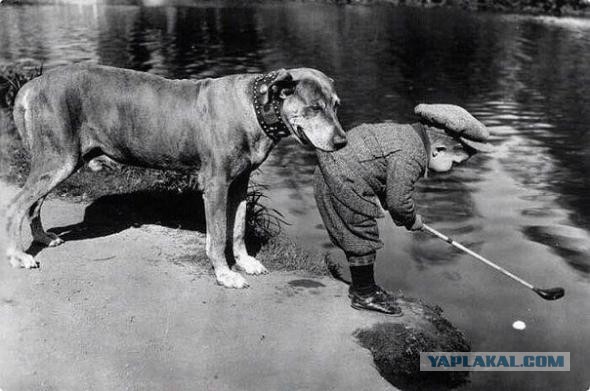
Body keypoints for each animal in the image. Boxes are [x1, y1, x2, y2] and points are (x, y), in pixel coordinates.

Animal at [5, 65, 346, 288]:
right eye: (314, 108)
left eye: (336, 106)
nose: (342, 142)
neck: (254, 106)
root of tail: (33, 84)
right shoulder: (216, 185)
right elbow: (218, 234)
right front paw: (225, 274)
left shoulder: (239, 183)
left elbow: (236, 228)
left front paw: (245, 262)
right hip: (58, 160)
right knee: (15, 206)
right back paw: (18, 256)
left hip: (61, 161)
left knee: (33, 204)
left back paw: (42, 237)